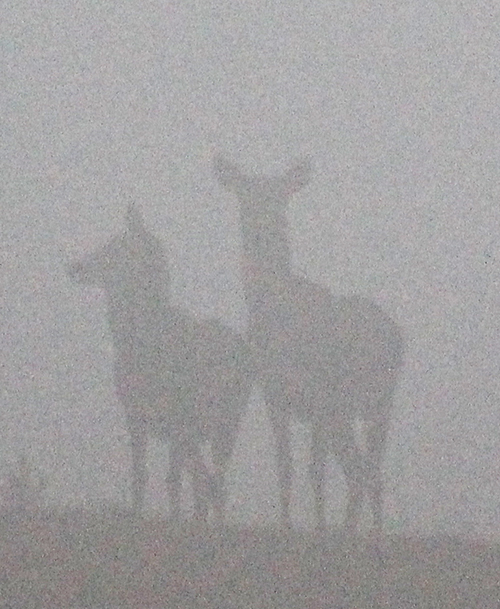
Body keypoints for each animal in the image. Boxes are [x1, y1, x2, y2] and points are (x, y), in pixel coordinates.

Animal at [213, 158, 404, 532]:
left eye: (279, 198)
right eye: (245, 196)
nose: (260, 223)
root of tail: (394, 338)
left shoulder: (319, 396)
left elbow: (314, 470)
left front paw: (318, 530)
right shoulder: (275, 395)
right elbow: (285, 467)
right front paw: (288, 526)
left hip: (367, 402)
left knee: (365, 471)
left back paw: (357, 531)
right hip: (361, 409)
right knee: (364, 472)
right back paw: (358, 531)